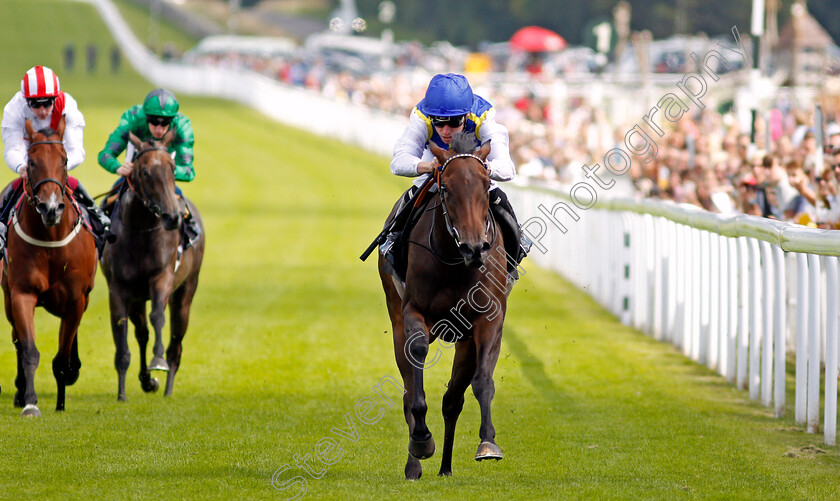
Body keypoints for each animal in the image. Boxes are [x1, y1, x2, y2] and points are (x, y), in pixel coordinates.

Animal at [1, 119, 97, 416]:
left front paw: (61, 403)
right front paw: (30, 402)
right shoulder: (21, 293)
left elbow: (62, 358)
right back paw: (20, 391)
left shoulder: (76, 301)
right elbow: (29, 350)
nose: (51, 208)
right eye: (31, 162)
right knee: (17, 340)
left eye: (64, 160)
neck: (51, 239)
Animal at [101, 129, 205, 398]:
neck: (140, 231)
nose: (172, 217)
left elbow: (158, 315)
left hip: (186, 292)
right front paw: (122, 393)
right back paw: (147, 381)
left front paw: (158, 362)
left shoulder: (162, 278)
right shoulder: (120, 289)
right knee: (142, 333)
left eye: (172, 168)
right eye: (145, 172)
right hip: (137, 299)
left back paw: (167, 389)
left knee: (176, 343)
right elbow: (122, 332)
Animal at [378, 132, 508, 476]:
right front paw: (422, 440)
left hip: (464, 340)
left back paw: (446, 468)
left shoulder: (488, 319)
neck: (455, 262)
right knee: (409, 389)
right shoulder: (414, 311)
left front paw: (488, 443)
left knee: (453, 400)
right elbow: (417, 363)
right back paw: (415, 461)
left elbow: (482, 381)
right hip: (395, 313)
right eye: (446, 187)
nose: (475, 247)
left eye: (485, 183)